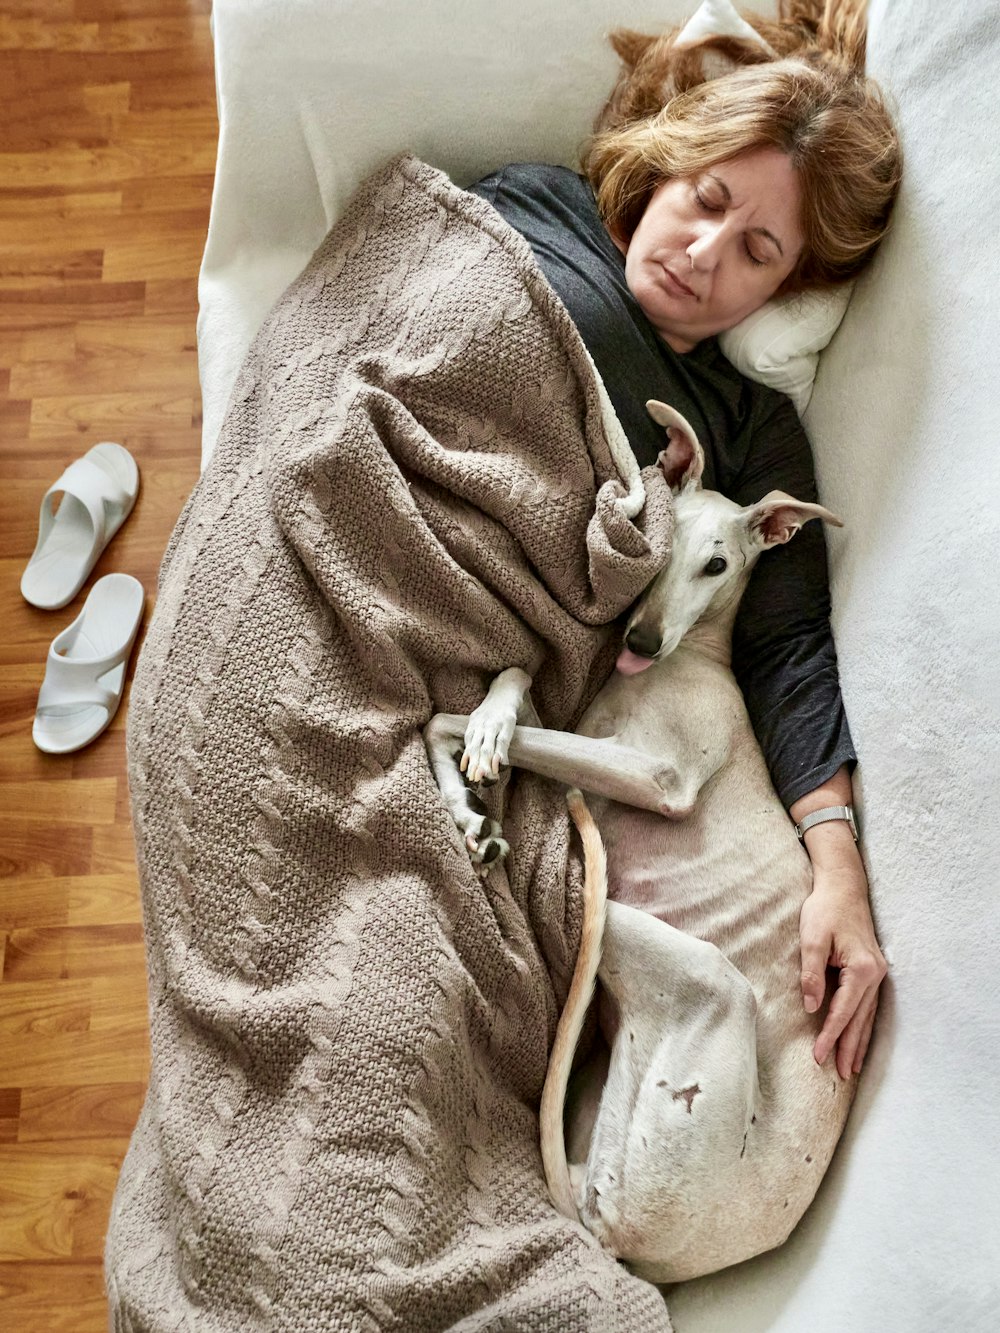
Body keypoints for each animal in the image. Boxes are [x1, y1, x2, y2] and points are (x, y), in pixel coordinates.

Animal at [426, 402, 858, 1279]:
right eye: (659, 551)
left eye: (718, 564)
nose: (640, 639)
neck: (683, 665)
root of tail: (621, 1238)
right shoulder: (584, 724)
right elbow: (516, 682)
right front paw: (478, 769)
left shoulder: (655, 774)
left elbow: (450, 718)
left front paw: (476, 756)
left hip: (687, 972)